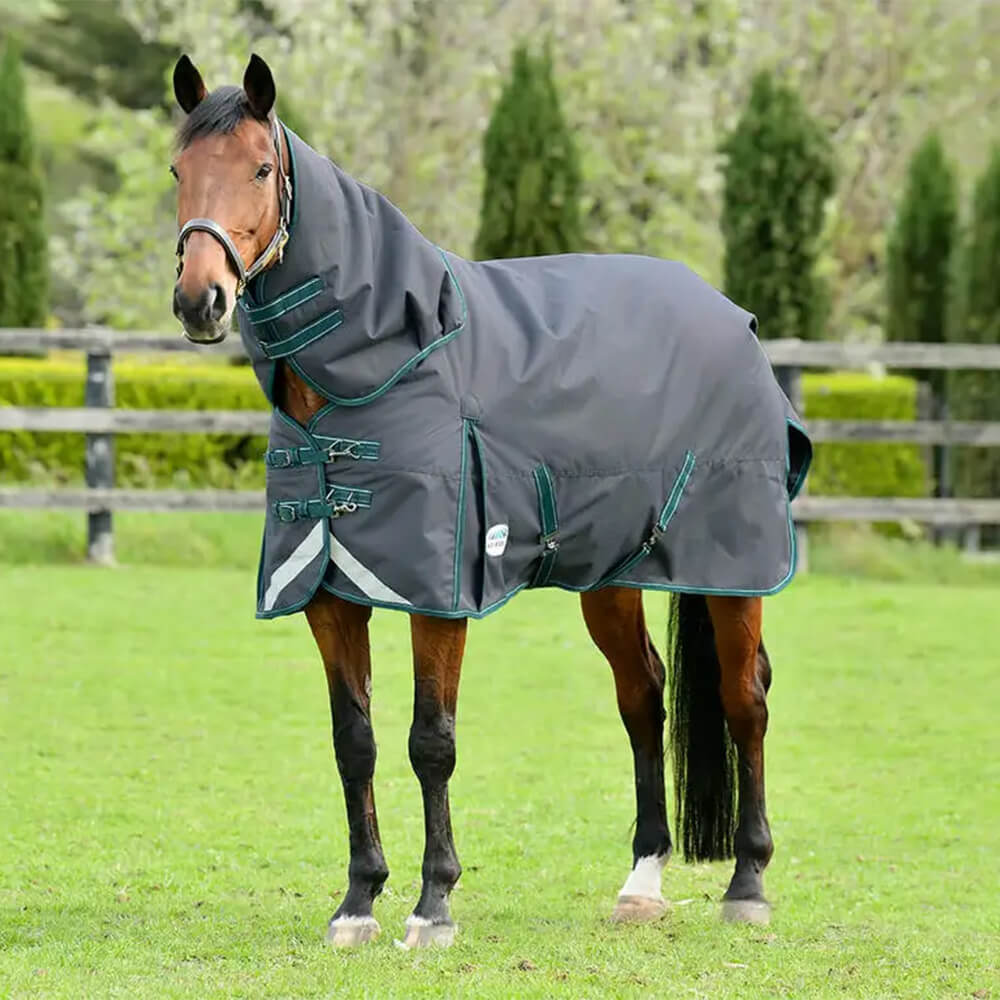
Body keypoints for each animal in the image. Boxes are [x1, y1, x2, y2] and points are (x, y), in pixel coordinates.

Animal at [169, 53, 810, 948]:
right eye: (178, 171)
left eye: (261, 168)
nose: (201, 300)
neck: (392, 357)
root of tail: (735, 320)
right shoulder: (329, 592)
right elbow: (353, 741)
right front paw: (358, 902)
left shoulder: (437, 594)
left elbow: (429, 741)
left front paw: (432, 905)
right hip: (614, 573)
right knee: (642, 695)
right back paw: (642, 880)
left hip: (732, 568)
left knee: (744, 698)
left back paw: (748, 882)